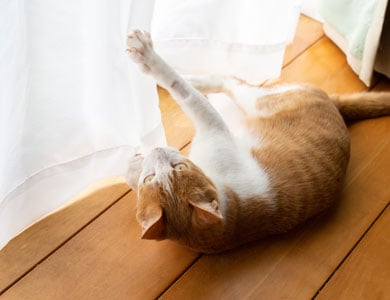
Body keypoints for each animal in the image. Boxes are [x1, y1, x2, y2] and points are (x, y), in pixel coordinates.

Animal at [125, 29, 390, 253]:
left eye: (179, 167)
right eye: (150, 179)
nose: (158, 151)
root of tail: (335, 105)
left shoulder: (213, 126)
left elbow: (183, 90)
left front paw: (149, 60)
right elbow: (186, 91)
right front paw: (132, 164)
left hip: (251, 101)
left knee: (226, 81)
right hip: (247, 102)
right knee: (228, 82)